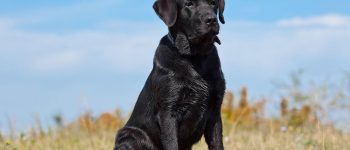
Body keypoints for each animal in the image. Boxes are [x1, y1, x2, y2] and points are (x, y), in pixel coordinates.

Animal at [113, 0, 226, 149]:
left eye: (213, 3)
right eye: (189, 4)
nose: (211, 19)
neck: (195, 56)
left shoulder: (215, 113)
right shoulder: (168, 112)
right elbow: (172, 143)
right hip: (130, 134)